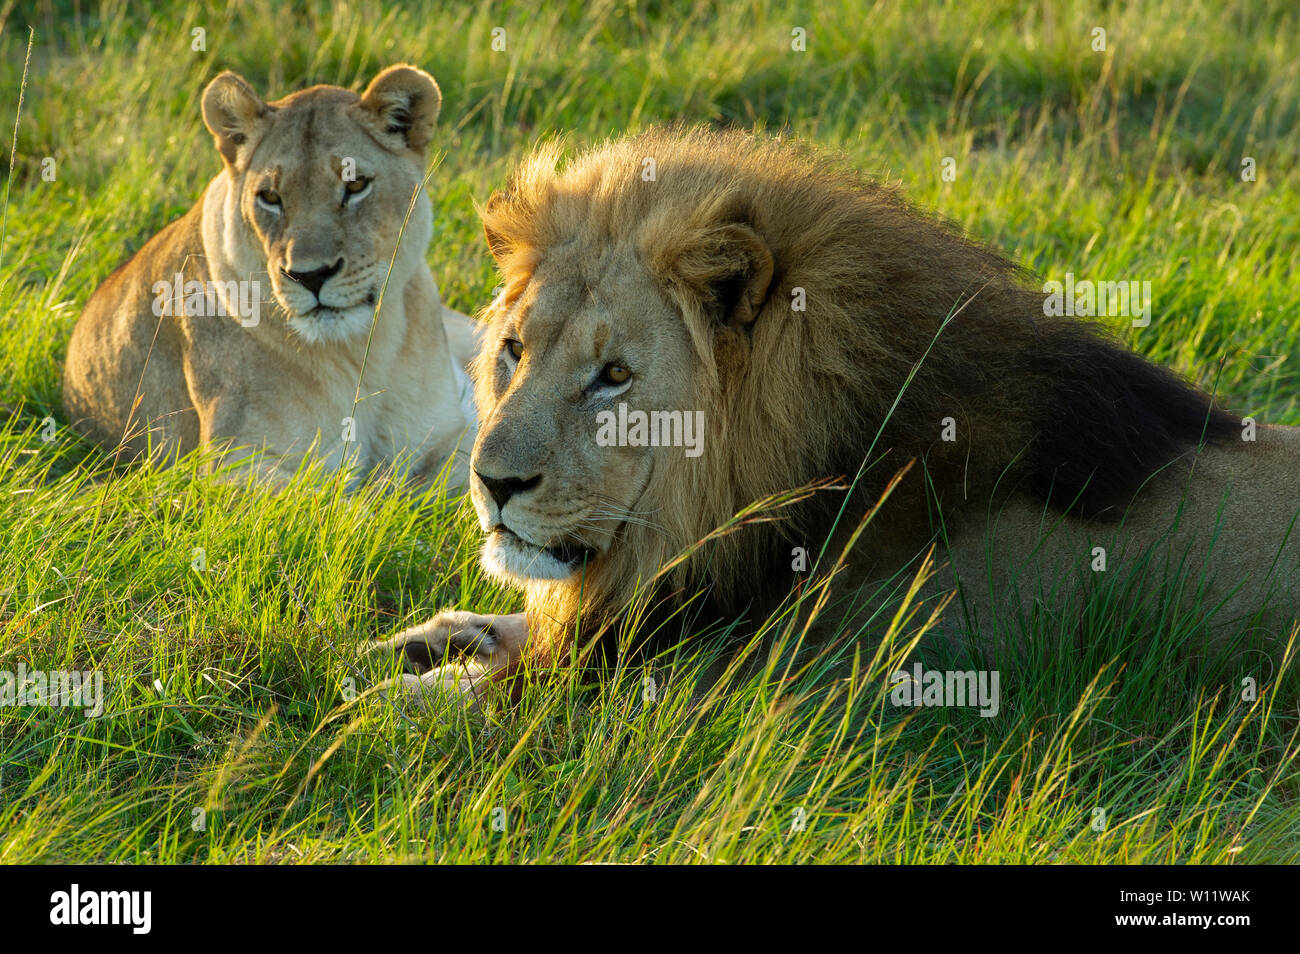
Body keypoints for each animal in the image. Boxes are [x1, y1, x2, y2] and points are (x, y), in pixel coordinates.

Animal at [63, 65, 480, 487]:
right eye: (270, 198)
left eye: (356, 185)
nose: (311, 276)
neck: (366, 349)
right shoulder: (233, 464)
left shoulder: (448, 435)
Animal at [373, 125, 1300, 701]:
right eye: (513, 351)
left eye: (613, 377)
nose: (490, 483)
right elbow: (521, 626)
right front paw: (427, 637)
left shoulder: (736, 680)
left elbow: (482, 698)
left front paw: (386, 700)